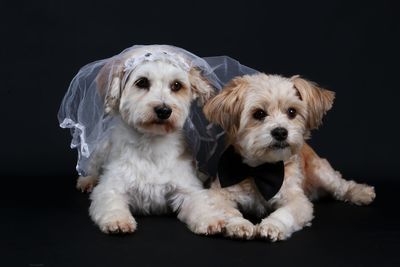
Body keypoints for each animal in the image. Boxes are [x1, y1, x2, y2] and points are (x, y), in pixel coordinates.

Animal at [203, 74, 376, 242]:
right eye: (259, 113)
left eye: (292, 112)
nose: (280, 132)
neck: (260, 170)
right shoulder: (219, 193)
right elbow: (227, 211)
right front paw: (239, 224)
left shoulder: (296, 199)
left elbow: (285, 212)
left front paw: (273, 225)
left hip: (322, 173)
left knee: (341, 185)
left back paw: (361, 193)